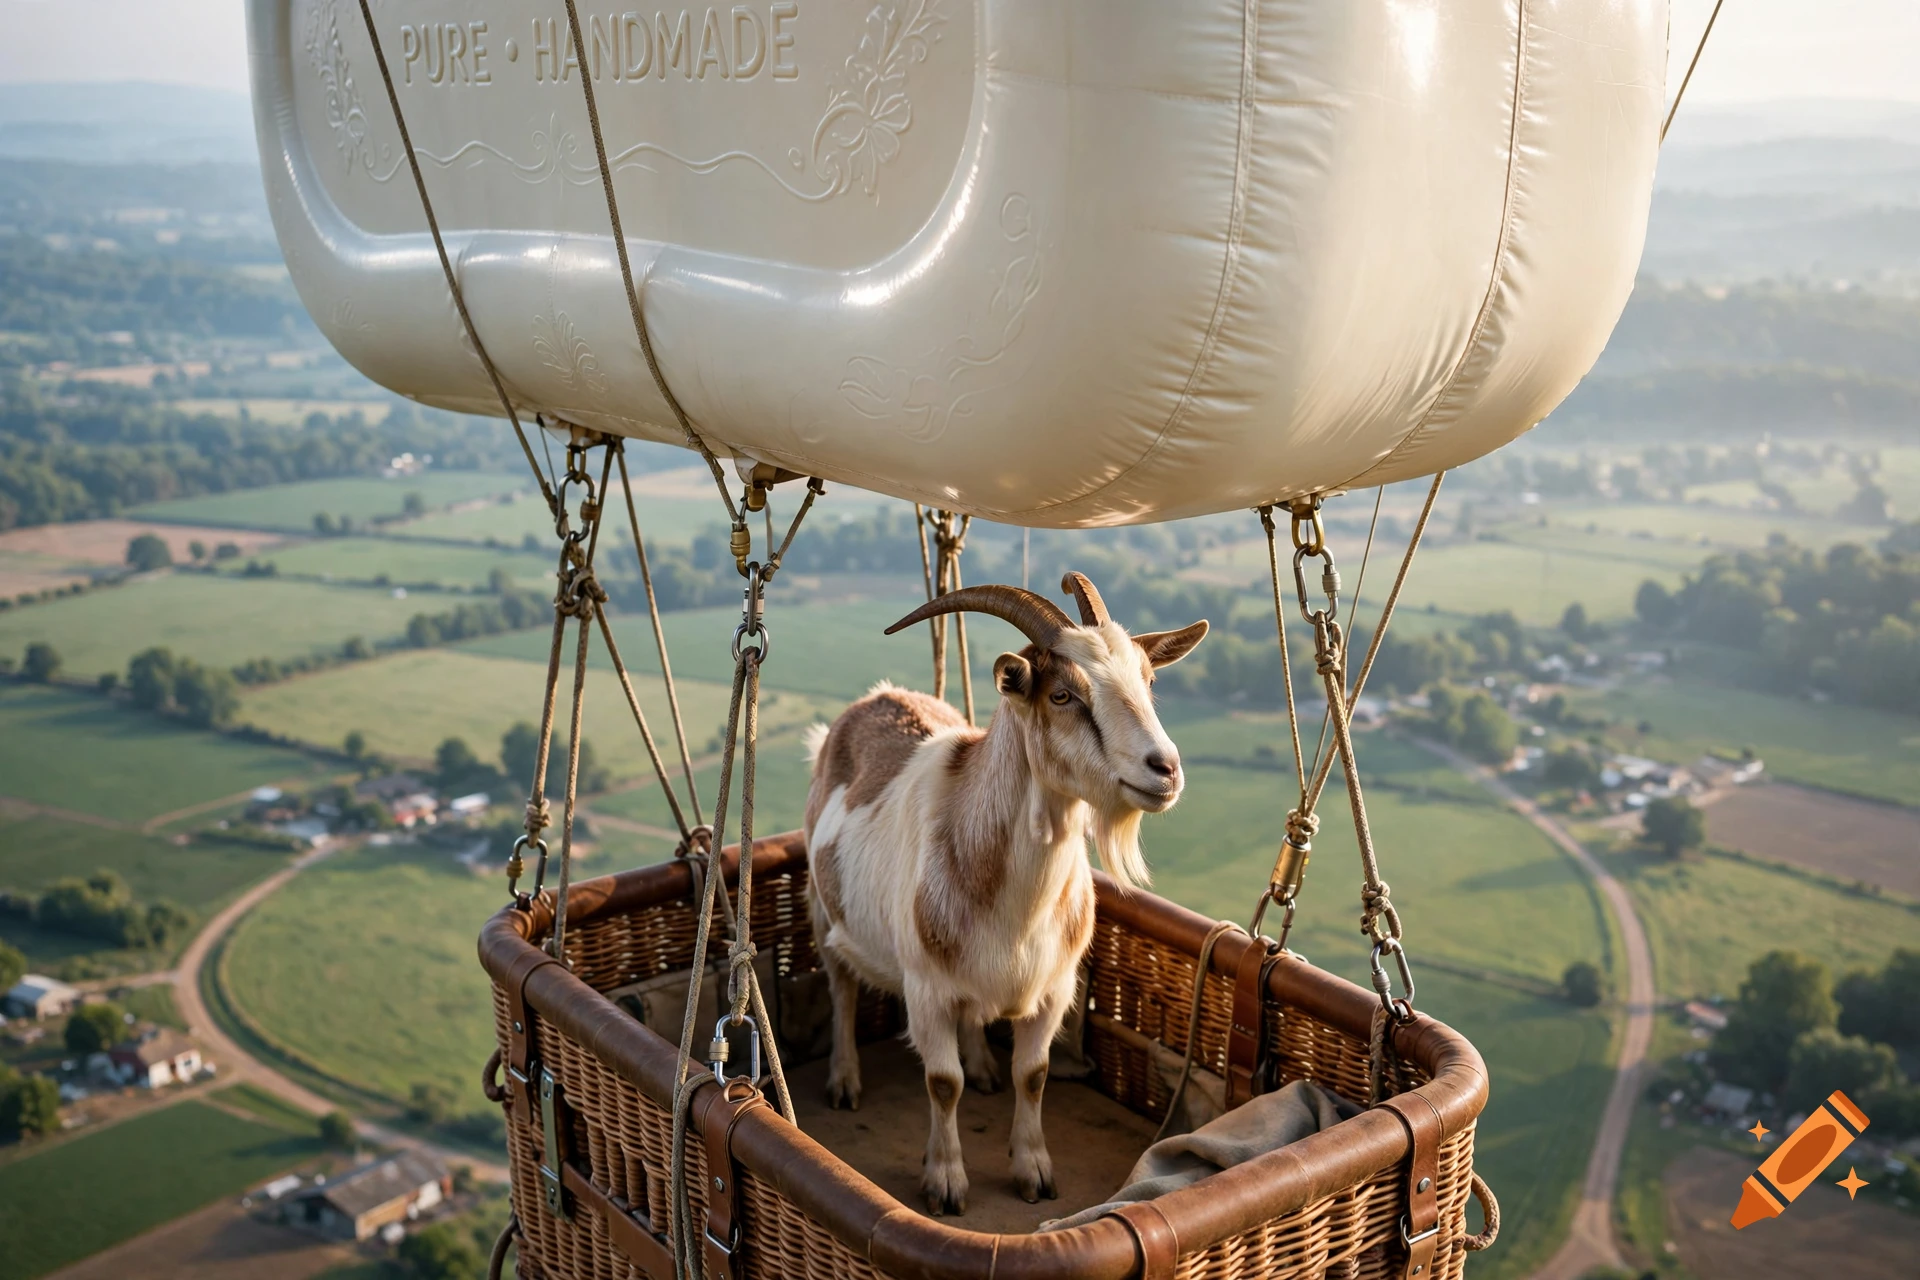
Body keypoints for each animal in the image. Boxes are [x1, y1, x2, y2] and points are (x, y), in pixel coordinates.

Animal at [802, 573, 1207, 1214]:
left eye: (1147, 681)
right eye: (1062, 696)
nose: (1163, 769)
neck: (1016, 907)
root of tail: (875, 698)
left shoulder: (1053, 989)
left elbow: (1033, 1075)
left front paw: (1033, 1171)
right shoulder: (926, 992)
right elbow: (942, 1084)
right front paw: (945, 1182)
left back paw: (983, 1064)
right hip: (822, 906)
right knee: (840, 986)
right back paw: (844, 1080)